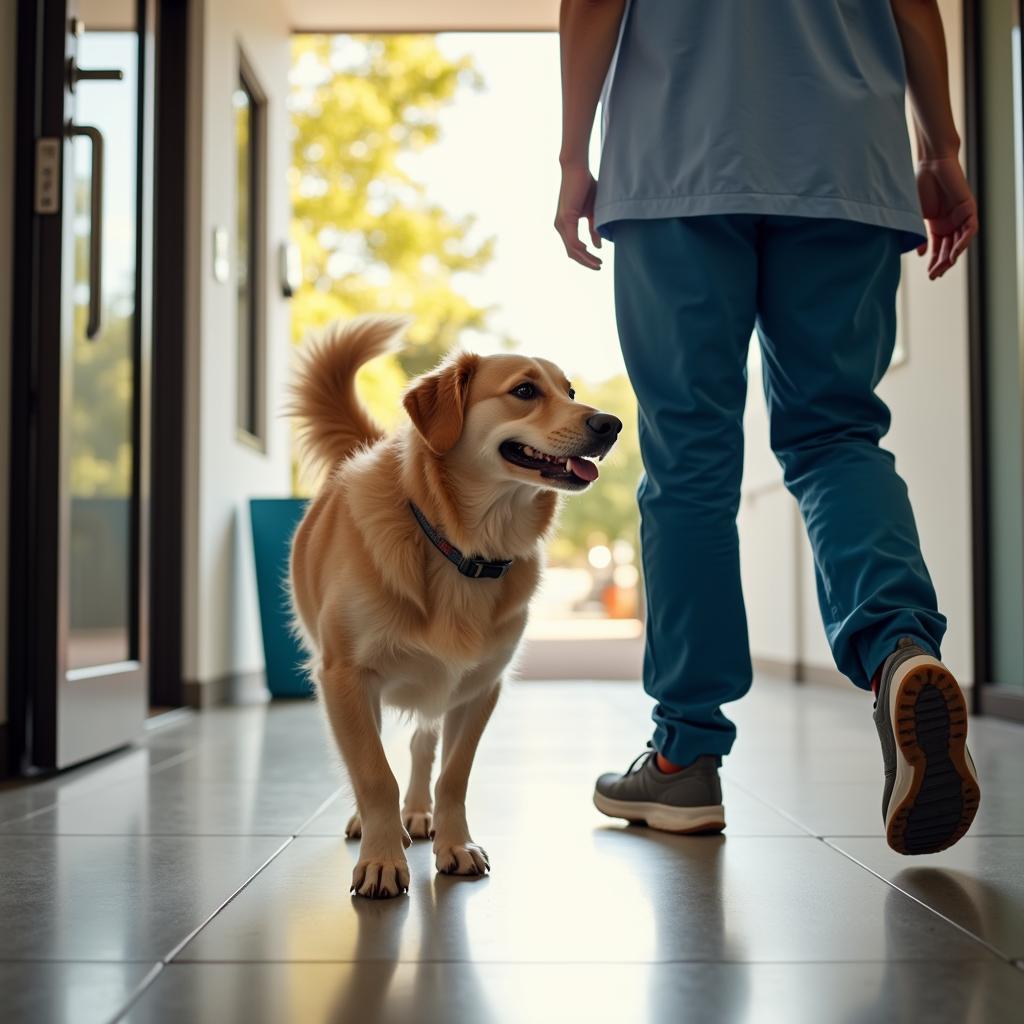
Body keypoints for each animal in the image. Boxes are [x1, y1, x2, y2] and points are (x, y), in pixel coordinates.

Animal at [290, 317, 622, 897]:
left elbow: (453, 774)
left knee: (423, 746)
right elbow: (373, 772)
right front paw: (382, 858)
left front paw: (454, 844)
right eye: (525, 391)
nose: (612, 424)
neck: (461, 547)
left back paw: (418, 814)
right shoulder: (344, 676)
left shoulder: (479, 686)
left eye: (570, 391)